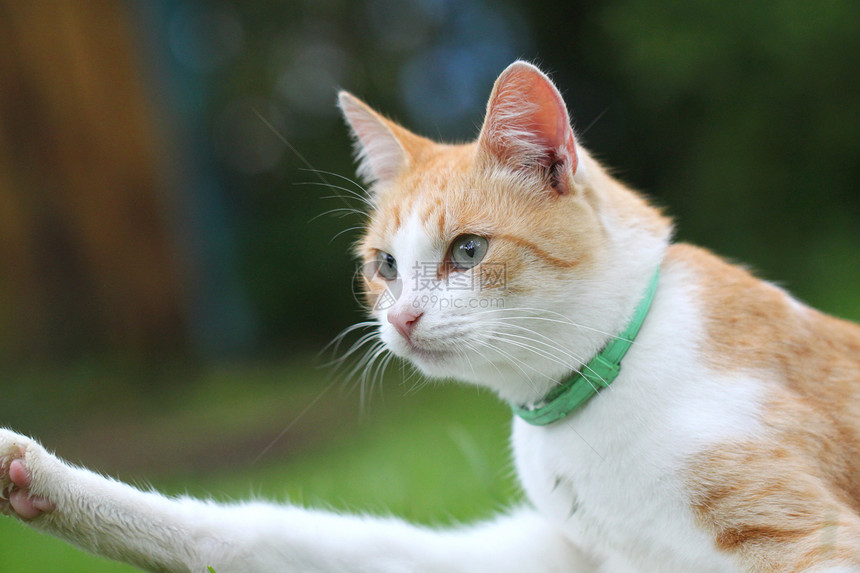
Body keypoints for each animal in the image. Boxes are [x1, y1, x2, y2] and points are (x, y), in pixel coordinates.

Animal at [1, 60, 860, 568]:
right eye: (384, 264)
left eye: (469, 251)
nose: (403, 319)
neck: (600, 384)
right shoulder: (549, 554)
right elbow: (254, 531)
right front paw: (35, 475)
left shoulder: (803, 544)